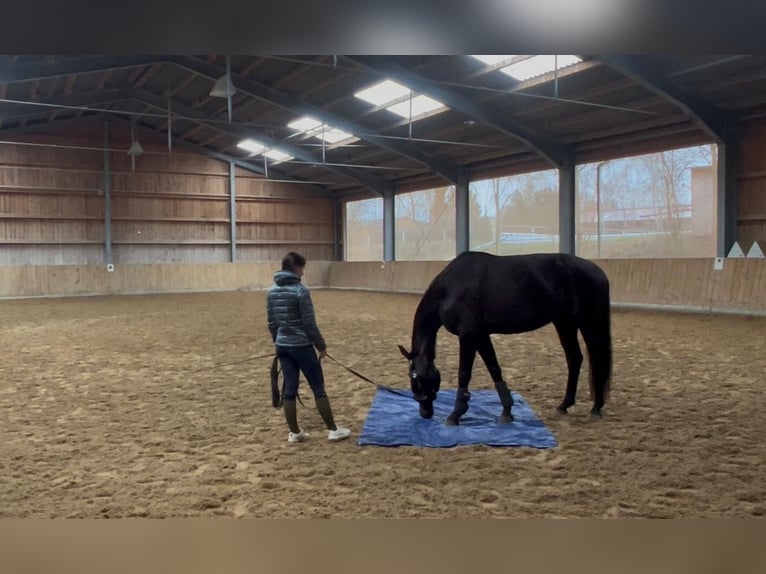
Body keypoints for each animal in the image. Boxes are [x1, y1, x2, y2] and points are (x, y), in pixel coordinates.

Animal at [397, 251, 612, 425]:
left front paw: (455, 415)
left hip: (588, 323)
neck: (451, 288)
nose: (425, 412)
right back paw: (564, 405)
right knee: (575, 358)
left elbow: (464, 373)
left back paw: (596, 407)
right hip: (565, 323)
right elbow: (494, 369)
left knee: (597, 359)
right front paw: (507, 411)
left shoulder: (468, 335)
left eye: (414, 375)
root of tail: (597, 271)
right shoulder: (481, 335)